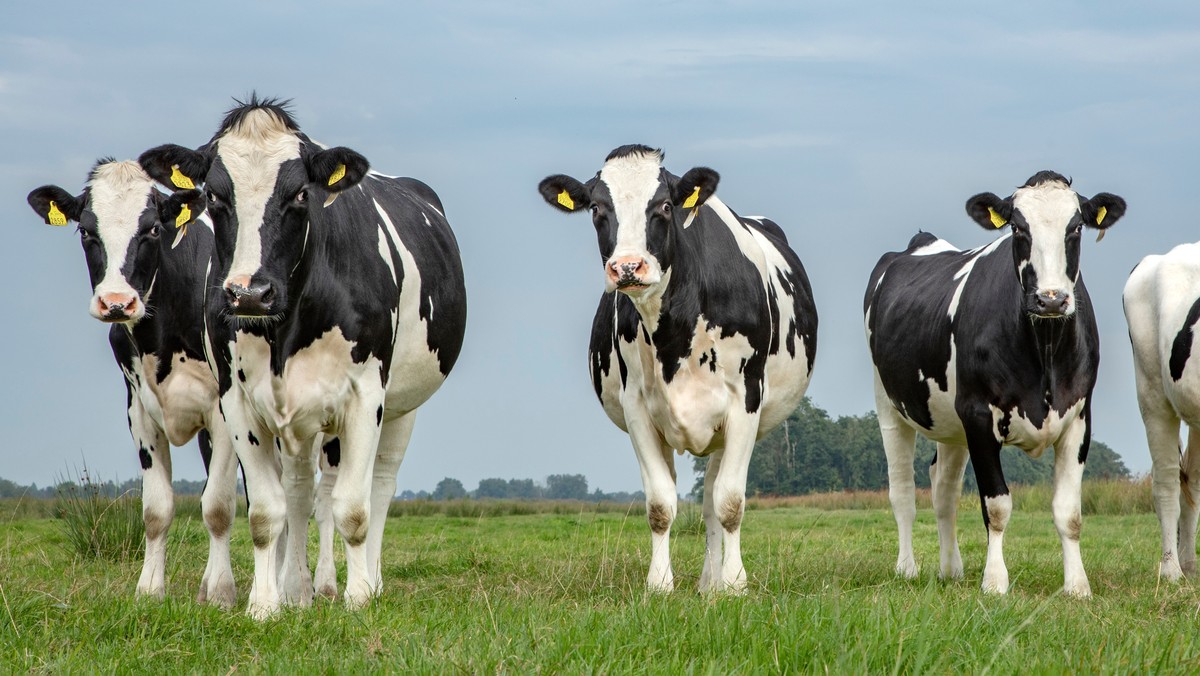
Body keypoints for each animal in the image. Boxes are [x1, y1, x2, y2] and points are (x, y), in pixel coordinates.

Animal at [27, 159, 240, 607]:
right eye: (85, 231)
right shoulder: (140, 411)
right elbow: (157, 509)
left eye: (153, 230)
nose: (117, 303)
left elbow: (217, 505)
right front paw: (150, 589)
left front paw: (222, 593)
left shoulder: (224, 410)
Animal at [140, 97, 468, 619]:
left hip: (402, 406)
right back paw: (297, 589)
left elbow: (353, 507)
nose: (249, 293)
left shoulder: (365, 397)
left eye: (299, 195)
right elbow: (266, 511)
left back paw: (369, 581)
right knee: (298, 491)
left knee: (380, 485)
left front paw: (358, 598)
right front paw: (265, 605)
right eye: (215, 196)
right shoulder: (237, 403)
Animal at [540, 145, 820, 590]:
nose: (627, 267)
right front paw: (659, 584)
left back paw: (715, 583)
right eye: (597, 208)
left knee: (711, 500)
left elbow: (730, 502)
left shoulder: (745, 401)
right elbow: (659, 504)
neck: (676, 329)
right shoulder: (637, 407)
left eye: (665, 206)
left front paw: (735, 584)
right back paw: (707, 583)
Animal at [864, 170, 1123, 597]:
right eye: (1018, 228)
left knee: (943, 489)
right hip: (890, 405)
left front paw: (1077, 585)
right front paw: (995, 583)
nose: (1051, 299)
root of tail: (920, 243)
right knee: (902, 492)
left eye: (1076, 227)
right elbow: (997, 506)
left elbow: (1069, 513)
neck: (1044, 350)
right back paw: (907, 569)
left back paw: (951, 569)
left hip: (951, 423)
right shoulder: (979, 415)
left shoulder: (1079, 419)